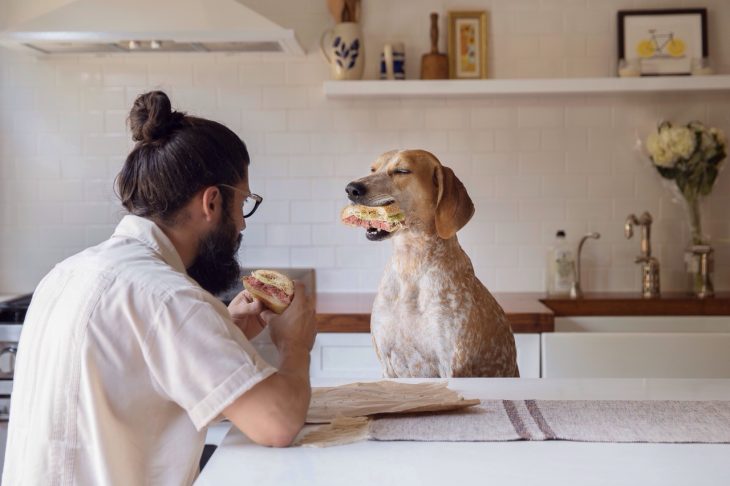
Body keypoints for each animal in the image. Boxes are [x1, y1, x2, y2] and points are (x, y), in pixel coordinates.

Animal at [342, 150, 516, 378]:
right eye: (373, 169)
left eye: (402, 171)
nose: (351, 188)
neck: (410, 263)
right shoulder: (387, 365)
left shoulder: (452, 365)